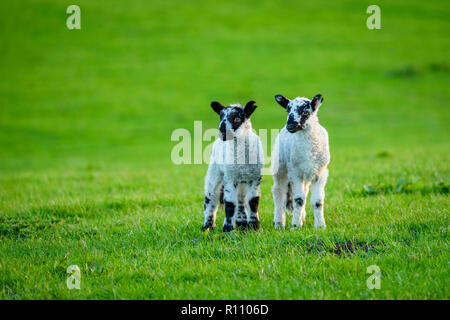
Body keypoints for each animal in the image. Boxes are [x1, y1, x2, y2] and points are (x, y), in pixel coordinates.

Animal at [201, 100, 264, 232]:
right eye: (220, 116)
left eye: (237, 118)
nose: (223, 132)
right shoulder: (230, 177)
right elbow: (230, 204)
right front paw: (228, 229)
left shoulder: (255, 177)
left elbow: (253, 202)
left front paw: (254, 227)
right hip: (215, 171)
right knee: (211, 197)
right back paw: (207, 226)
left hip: (241, 180)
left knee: (241, 199)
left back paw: (242, 224)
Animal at [270, 94, 330, 229]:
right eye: (287, 110)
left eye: (306, 112)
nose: (290, 126)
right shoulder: (294, 172)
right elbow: (298, 200)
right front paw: (295, 226)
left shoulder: (320, 173)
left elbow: (317, 201)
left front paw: (321, 226)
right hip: (280, 167)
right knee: (279, 192)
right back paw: (279, 223)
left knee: (305, 192)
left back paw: (301, 218)